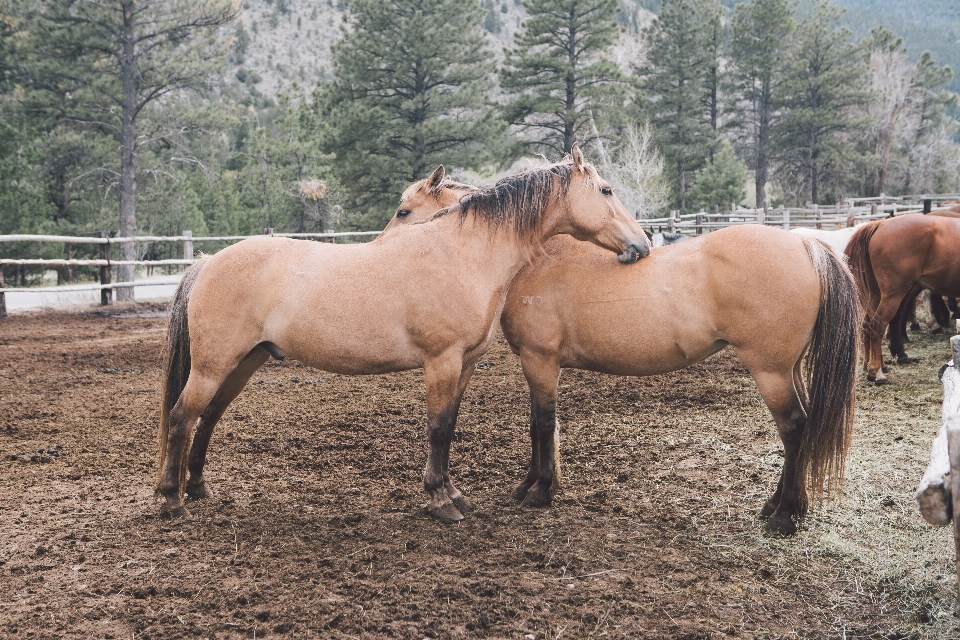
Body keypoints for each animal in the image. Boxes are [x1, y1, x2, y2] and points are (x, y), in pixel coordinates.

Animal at [156, 148, 652, 524]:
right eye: (606, 190)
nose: (642, 244)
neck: (462, 253)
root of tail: (208, 262)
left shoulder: (464, 363)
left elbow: (449, 426)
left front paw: (452, 493)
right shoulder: (441, 361)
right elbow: (437, 428)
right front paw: (440, 502)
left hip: (242, 363)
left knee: (208, 417)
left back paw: (197, 487)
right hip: (213, 366)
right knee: (182, 416)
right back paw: (171, 500)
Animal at [390, 174, 864, 536]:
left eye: (404, 211)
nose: (386, 251)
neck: (539, 259)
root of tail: (806, 246)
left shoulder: (539, 360)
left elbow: (542, 424)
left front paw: (540, 491)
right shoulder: (541, 365)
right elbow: (541, 426)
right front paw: (534, 485)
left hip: (770, 371)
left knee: (794, 428)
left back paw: (783, 517)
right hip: (789, 369)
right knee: (802, 426)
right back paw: (782, 505)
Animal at [844, 215, 960, 384]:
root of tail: (879, 224)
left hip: (877, 293)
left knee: (867, 324)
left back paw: (874, 365)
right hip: (893, 294)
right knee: (878, 324)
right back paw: (876, 372)